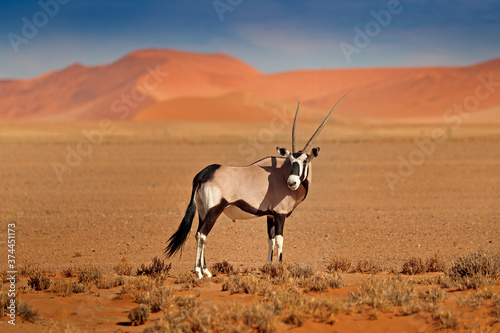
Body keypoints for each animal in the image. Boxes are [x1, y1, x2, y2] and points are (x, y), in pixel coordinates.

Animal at [166, 94, 346, 276]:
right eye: (291, 160)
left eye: (304, 161)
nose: (292, 182)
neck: (281, 172)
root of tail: (203, 174)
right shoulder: (280, 214)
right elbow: (279, 240)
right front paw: (280, 267)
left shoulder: (270, 215)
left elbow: (270, 240)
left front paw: (269, 266)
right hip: (214, 211)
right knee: (202, 235)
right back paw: (199, 272)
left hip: (203, 211)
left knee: (197, 233)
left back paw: (206, 271)